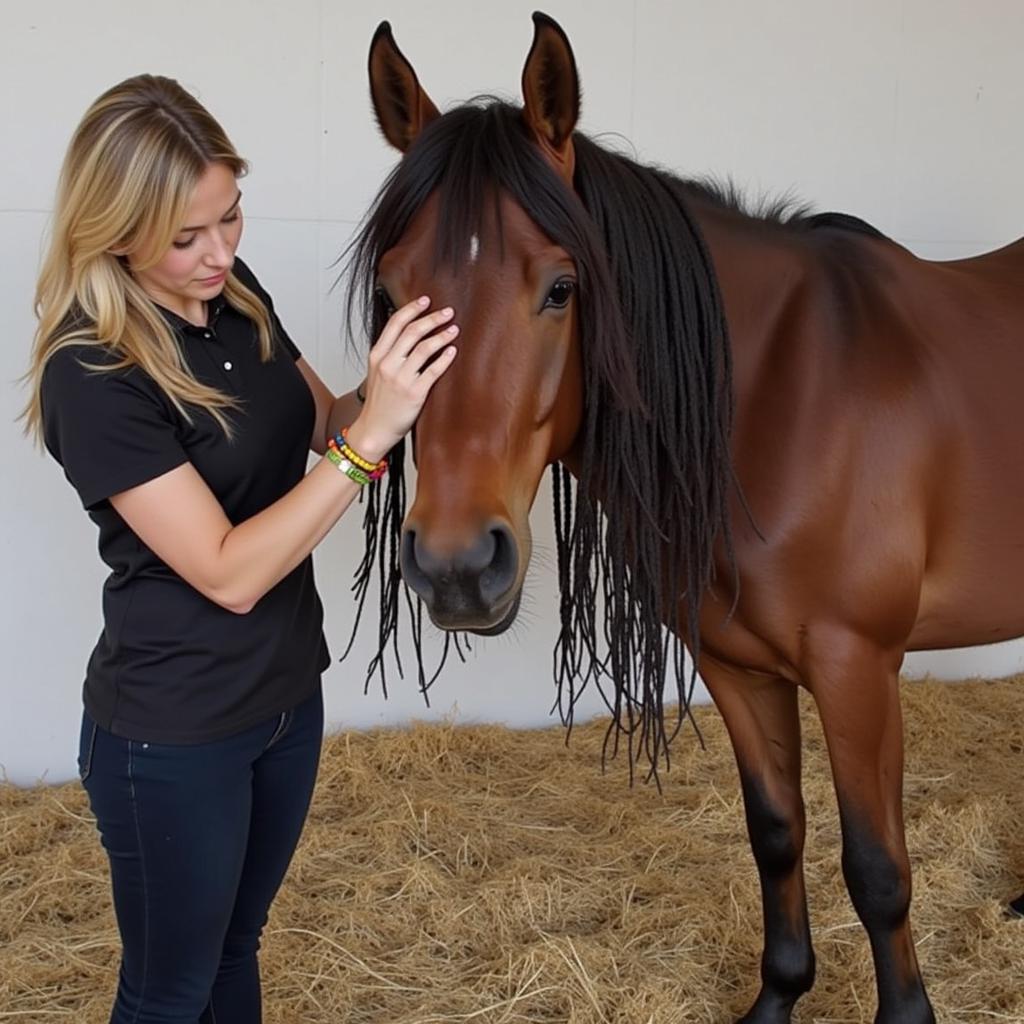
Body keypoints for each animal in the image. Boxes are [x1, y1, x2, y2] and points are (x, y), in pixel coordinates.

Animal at [342, 9, 1024, 1024]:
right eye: (390, 295)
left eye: (561, 288)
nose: (459, 565)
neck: (776, 398)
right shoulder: (736, 666)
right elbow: (776, 832)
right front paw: (778, 997)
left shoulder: (857, 668)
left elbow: (878, 870)